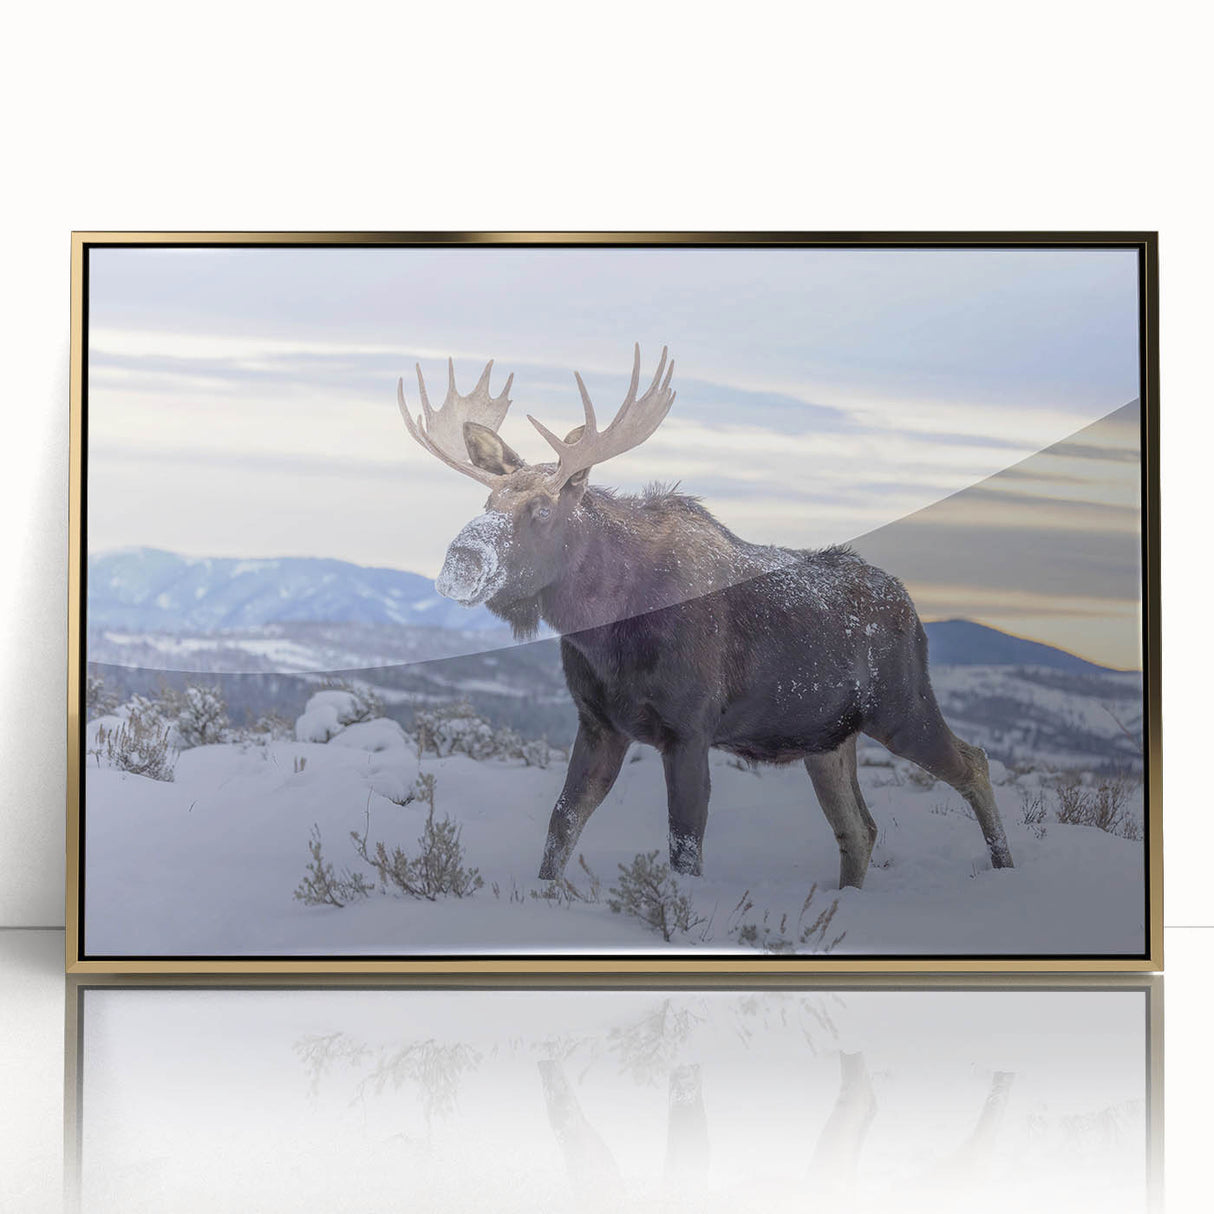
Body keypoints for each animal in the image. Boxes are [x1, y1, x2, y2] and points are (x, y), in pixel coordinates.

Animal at [397, 346, 1013, 889]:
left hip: (902, 707)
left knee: (975, 762)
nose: (461, 561)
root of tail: (912, 608)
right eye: (487, 503)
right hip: (828, 739)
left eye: (543, 508)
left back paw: (1005, 869)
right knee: (860, 829)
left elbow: (685, 847)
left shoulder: (689, 729)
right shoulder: (599, 723)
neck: (605, 624)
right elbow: (561, 825)